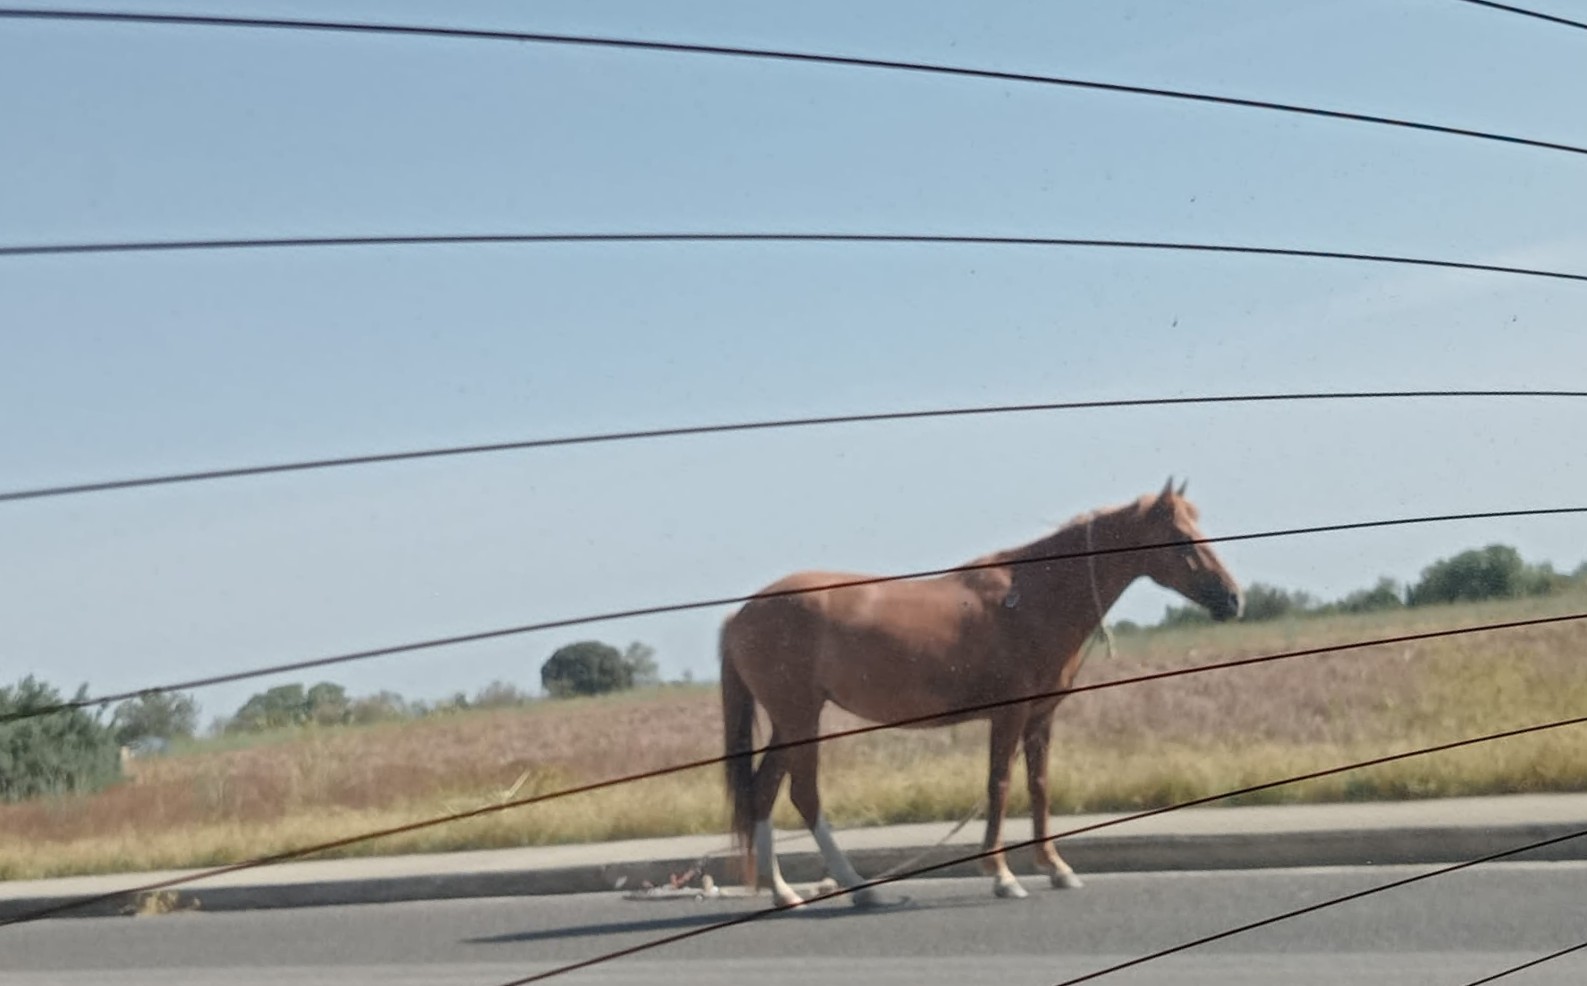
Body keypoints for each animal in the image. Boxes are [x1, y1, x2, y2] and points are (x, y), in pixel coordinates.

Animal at [719, 479, 1243, 905]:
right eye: (1181, 538)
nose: (1233, 599)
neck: (1032, 597)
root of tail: (741, 614)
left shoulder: (1040, 718)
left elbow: (1039, 786)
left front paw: (1055, 868)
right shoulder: (1007, 716)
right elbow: (1000, 785)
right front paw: (1002, 875)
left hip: (789, 722)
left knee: (763, 793)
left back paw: (784, 893)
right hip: (800, 718)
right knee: (804, 795)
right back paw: (857, 887)